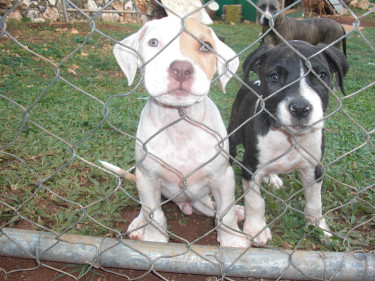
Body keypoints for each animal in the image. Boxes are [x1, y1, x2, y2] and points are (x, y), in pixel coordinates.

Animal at [101, 15, 251, 247]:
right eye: (153, 42)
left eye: (206, 46)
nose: (181, 69)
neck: (180, 123)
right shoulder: (148, 179)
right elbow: (154, 214)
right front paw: (155, 240)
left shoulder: (222, 177)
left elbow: (225, 214)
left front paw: (232, 241)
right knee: (146, 209)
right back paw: (139, 223)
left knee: (215, 209)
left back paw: (236, 211)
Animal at [228, 40, 352, 244]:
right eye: (274, 77)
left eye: (321, 75)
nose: (301, 108)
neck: (289, 137)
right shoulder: (250, 168)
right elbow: (255, 201)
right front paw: (256, 228)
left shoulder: (314, 168)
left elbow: (315, 202)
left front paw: (318, 226)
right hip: (232, 134)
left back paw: (272, 177)